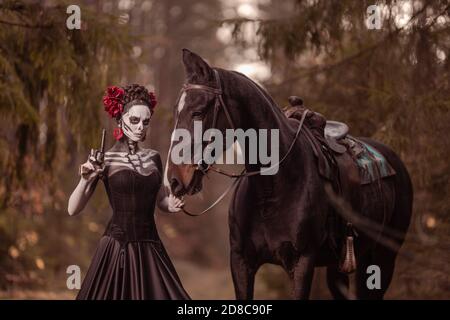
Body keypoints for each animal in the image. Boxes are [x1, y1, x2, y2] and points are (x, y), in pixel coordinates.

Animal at [167, 48, 414, 298]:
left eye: (198, 112)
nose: (174, 179)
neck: (271, 188)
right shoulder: (240, 262)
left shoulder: (302, 263)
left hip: (383, 256)